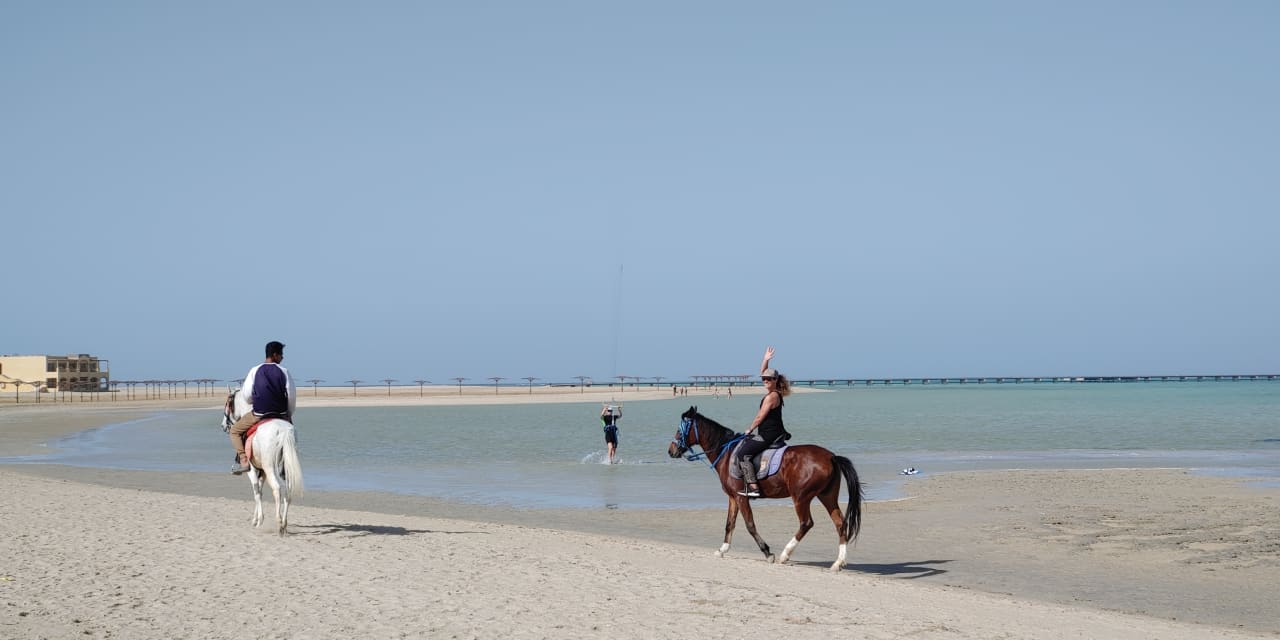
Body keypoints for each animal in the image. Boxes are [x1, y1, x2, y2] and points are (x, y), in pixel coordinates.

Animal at [223, 393, 304, 535]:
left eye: (227, 404)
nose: (223, 425)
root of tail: (283, 430)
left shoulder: (252, 471)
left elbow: (256, 493)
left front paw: (259, 520)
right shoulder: (263, 473)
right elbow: (260, 492)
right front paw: (256, 519)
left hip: (270, 468)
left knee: (277, 489)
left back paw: (279, 523)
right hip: (286, 468)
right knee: (288, 491)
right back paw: (284, 524)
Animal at [667, 406, 863, 571]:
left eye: (679, 430)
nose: (671, 451)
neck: (727, 452)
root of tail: (831, 457)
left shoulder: (741, 497)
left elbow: (750, 525)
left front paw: (768, 553)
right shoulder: (733, 497)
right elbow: (730, 523)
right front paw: (722, 549)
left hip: (801, 497)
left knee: (806, 523)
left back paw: (785, 555)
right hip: (827, 496)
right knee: (840, 523)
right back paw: (838, 563)